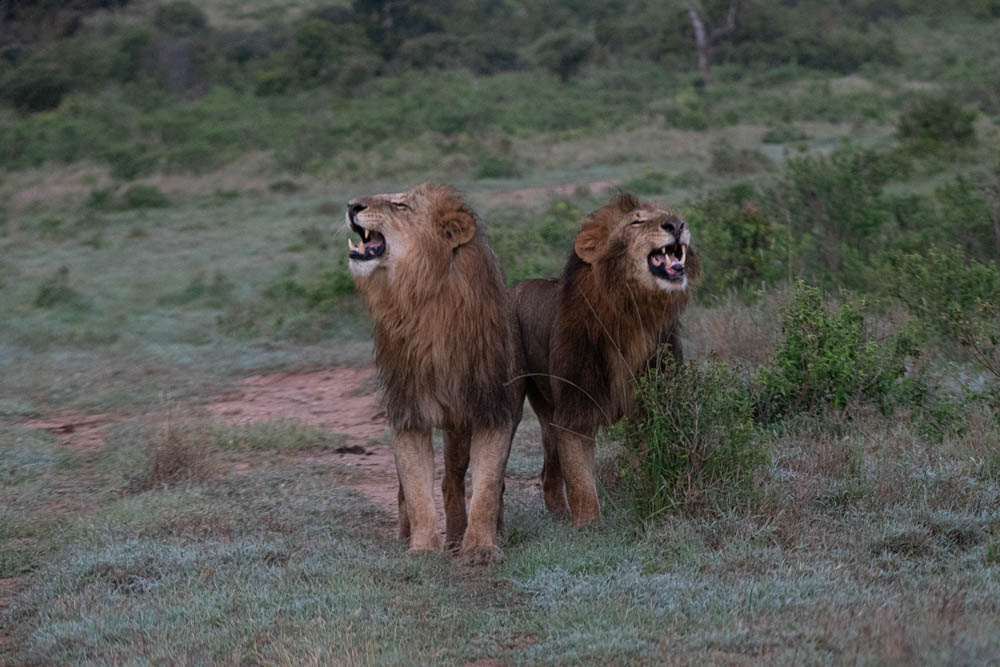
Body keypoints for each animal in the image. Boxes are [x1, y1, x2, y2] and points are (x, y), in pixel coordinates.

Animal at [346, 183, 519, 563]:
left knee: (455, 480)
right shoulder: (408, 411)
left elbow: (486, 487)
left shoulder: (493, 409)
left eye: (400, 205)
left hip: (461, 425)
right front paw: (423, 547)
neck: (424, 304)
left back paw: (463, 536)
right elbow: (415, 488)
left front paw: (481, 547)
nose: (351, 204)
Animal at [511, 192, 699, 525]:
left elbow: (645, 464)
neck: (631, 315)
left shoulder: (646, 407)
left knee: (549, 467)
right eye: (636, 221)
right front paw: (588, 526)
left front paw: (649, 501)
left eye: (670, 214)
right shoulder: (576, 408)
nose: (677, 224)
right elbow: (581, 482)